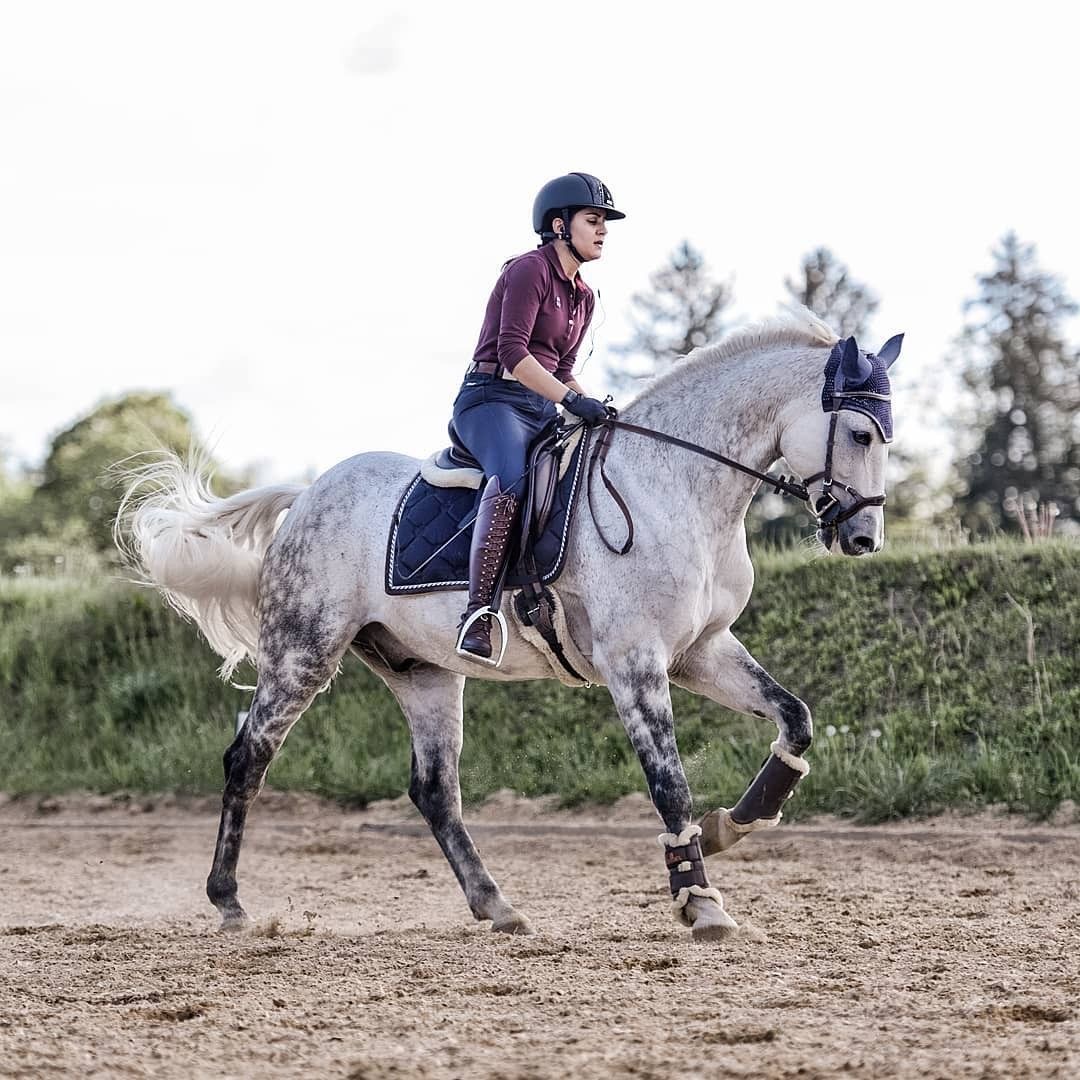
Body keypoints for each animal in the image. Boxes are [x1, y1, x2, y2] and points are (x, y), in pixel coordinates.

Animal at [115, 311, 902, 942]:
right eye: (861, 433)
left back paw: (497, 907)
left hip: (423, 672)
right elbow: (668, 781)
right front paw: (700, 899)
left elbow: (795, 719)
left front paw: (735, 824)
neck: (678, 484)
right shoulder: (635, 662)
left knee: (435, 790)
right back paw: (229, 902)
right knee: (248, 757)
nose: (863, 538)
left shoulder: (700, 652)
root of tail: (306, 493)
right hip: (303, 651)